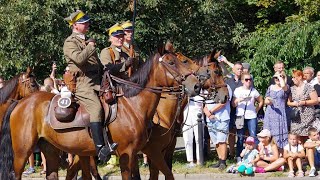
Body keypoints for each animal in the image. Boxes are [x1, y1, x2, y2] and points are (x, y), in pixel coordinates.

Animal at [0, 49, 200, 180]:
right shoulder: (130, 153)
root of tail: (21, 102)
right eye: (173, 62)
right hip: (22, 151)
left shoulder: (144, 152)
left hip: (51, 149)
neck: (133, 106)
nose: (196, 84)